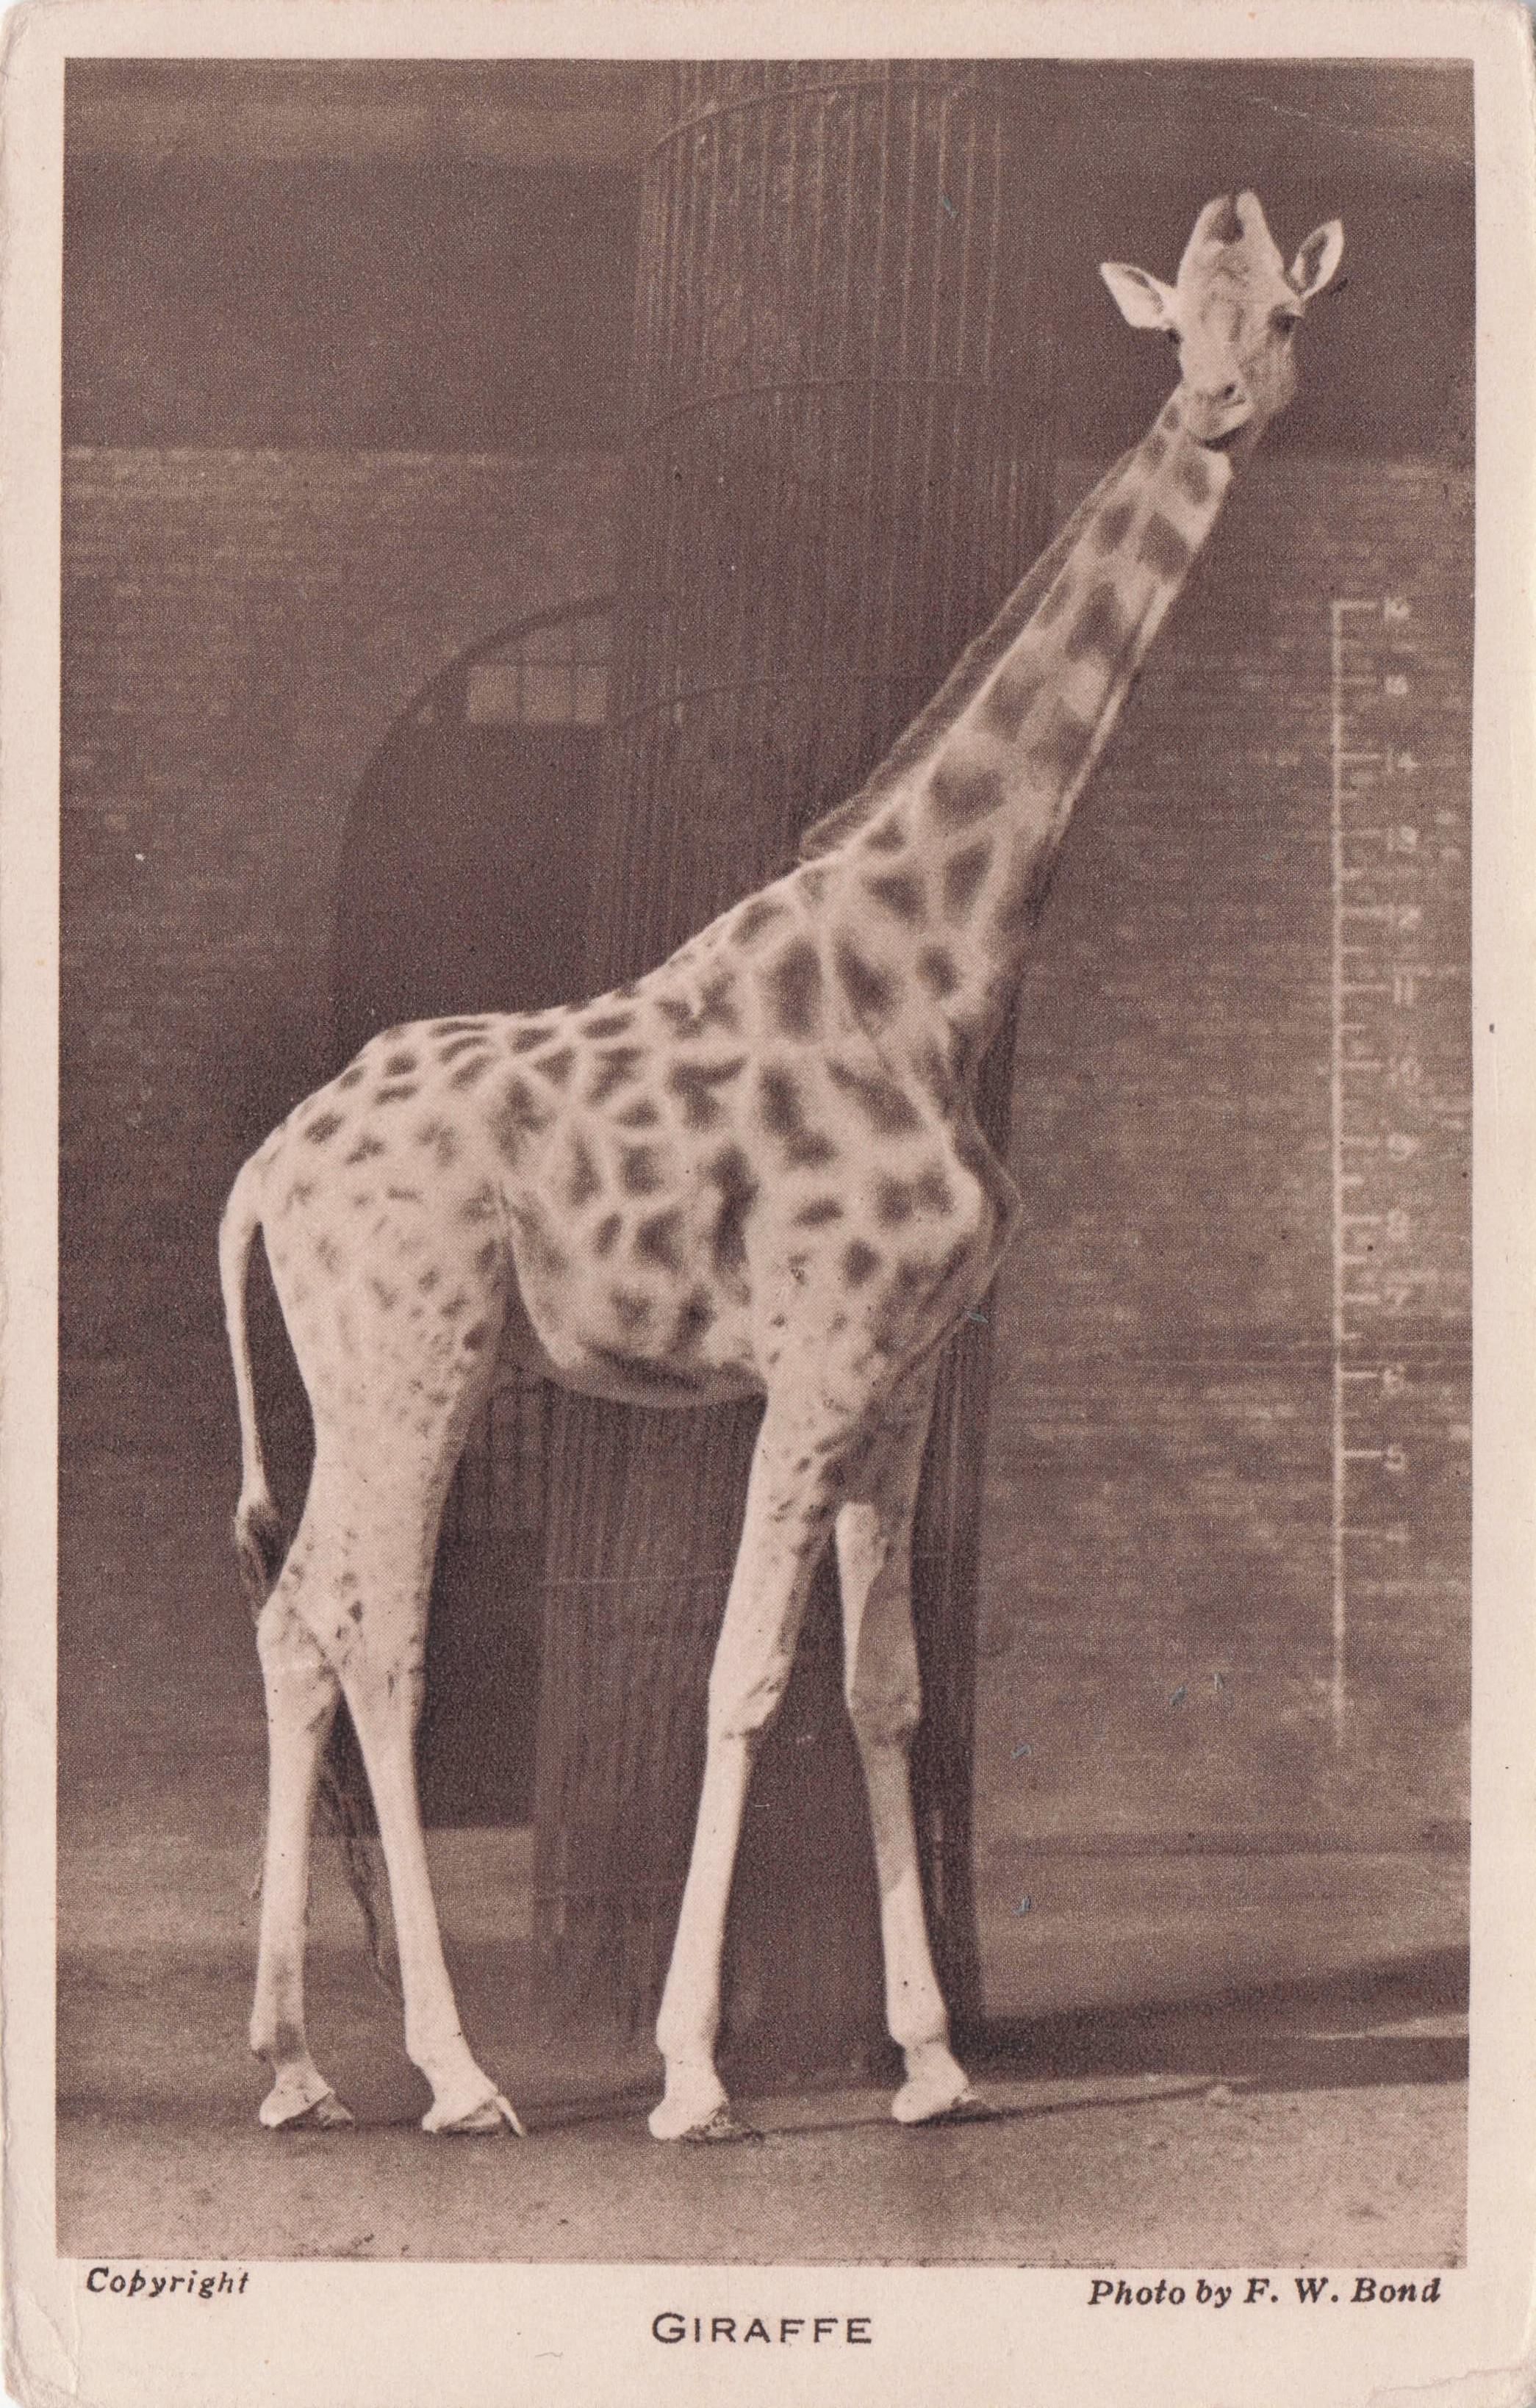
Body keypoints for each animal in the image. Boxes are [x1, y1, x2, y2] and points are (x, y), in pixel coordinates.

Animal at [220, 192, 1343, 2144]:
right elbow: (741, 1682)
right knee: (375, 1638)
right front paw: (690, 2075)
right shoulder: (813, 1361)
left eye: (1271, 314)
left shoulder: (901, 1376)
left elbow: (884, 1690)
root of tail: (267, 1166)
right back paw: (457, 2073)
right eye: (1175, 325)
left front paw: (932, 2064)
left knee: (297, 1624)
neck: (928, 979)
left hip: (363, 1372)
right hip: (416, 1360)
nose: (1212, 406)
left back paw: (296, 2067)